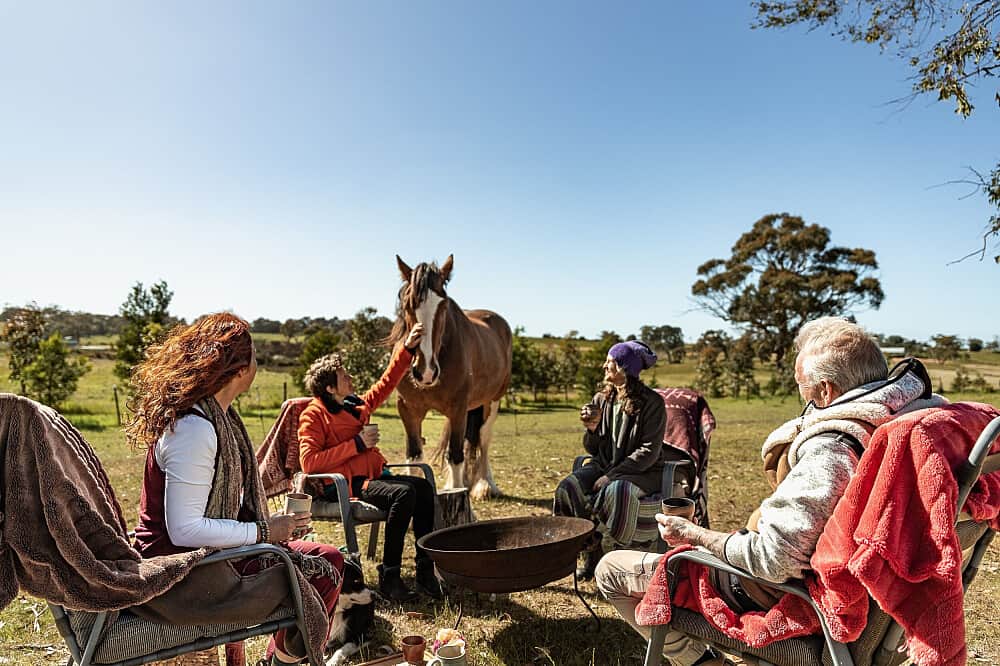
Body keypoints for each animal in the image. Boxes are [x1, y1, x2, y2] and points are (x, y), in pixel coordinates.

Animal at [389, 254, 512, 500]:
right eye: (408, 304)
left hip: (492, 400)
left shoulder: (458, 408)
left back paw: (485, 484)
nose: (425, 371)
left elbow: (456, 456)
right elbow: (415, 457)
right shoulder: (408, 410)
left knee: (483, 438)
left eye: (443, 305)